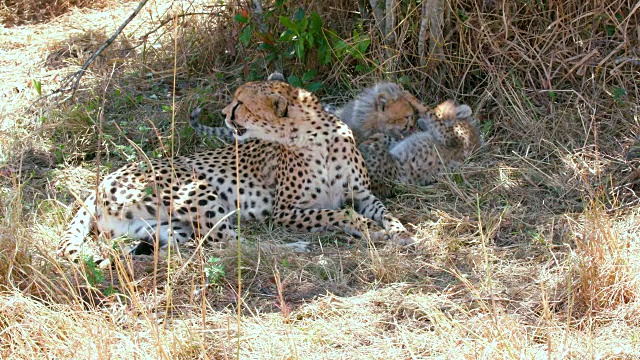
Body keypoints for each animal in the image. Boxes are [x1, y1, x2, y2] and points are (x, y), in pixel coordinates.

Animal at [60, 80, 416, 266]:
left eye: (240, 103)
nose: (222, 114)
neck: (316, 137)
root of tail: (102, 181)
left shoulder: (362, 193)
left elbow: (385, 211)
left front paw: (400, 232)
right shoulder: (285, 211)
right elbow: (340, 214)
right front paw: (368, 229)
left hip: (165, 228)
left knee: (203, 244)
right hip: (196, 189)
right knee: (234, 243)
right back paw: (297, 249)